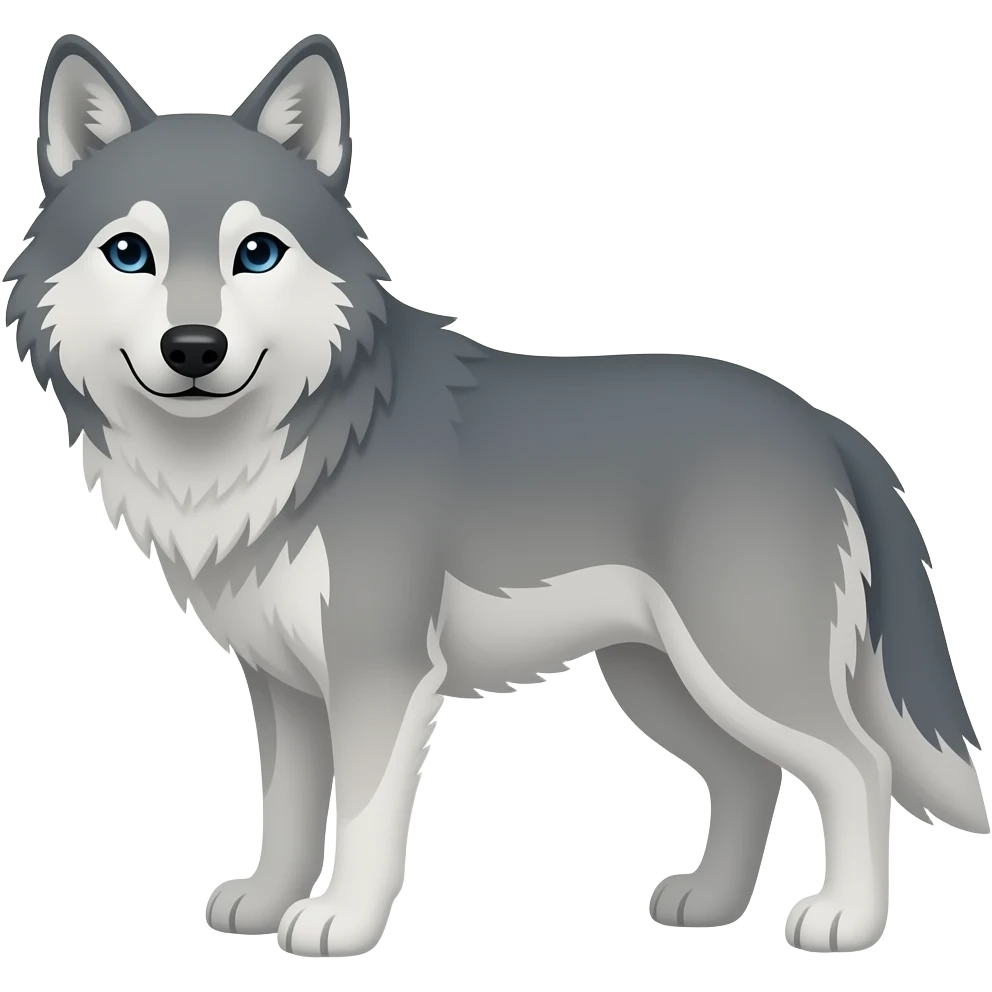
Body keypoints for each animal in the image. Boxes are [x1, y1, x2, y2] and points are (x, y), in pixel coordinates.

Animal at [3, 31, 987, 959]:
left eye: (257, 254)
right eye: (130, 254)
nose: (194, 348)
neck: (278, 449)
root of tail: (821, 422)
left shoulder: (381, 674)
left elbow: (362, 817)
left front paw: (340, 923)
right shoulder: (282, 686)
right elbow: (286, 809)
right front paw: (265, 902)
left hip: (740, 668)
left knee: (859, 767)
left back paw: (844, 921)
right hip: (661, 682)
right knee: (751, 776)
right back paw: (709, 904)